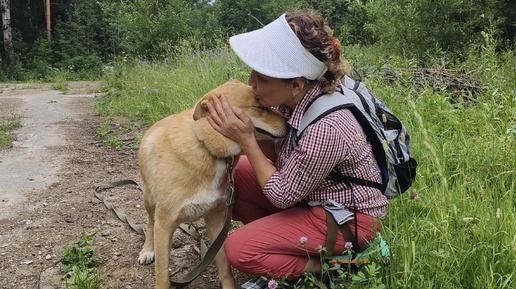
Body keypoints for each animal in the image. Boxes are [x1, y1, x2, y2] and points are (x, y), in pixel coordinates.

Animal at [137, 79, 290, 288]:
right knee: (150, 222)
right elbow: (162, 278)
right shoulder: (165, 224)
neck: (206, 148)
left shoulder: (217, 220)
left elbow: (225, 269)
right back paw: (147, 250)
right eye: (259, 107)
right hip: (150, 201)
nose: (290, 126)